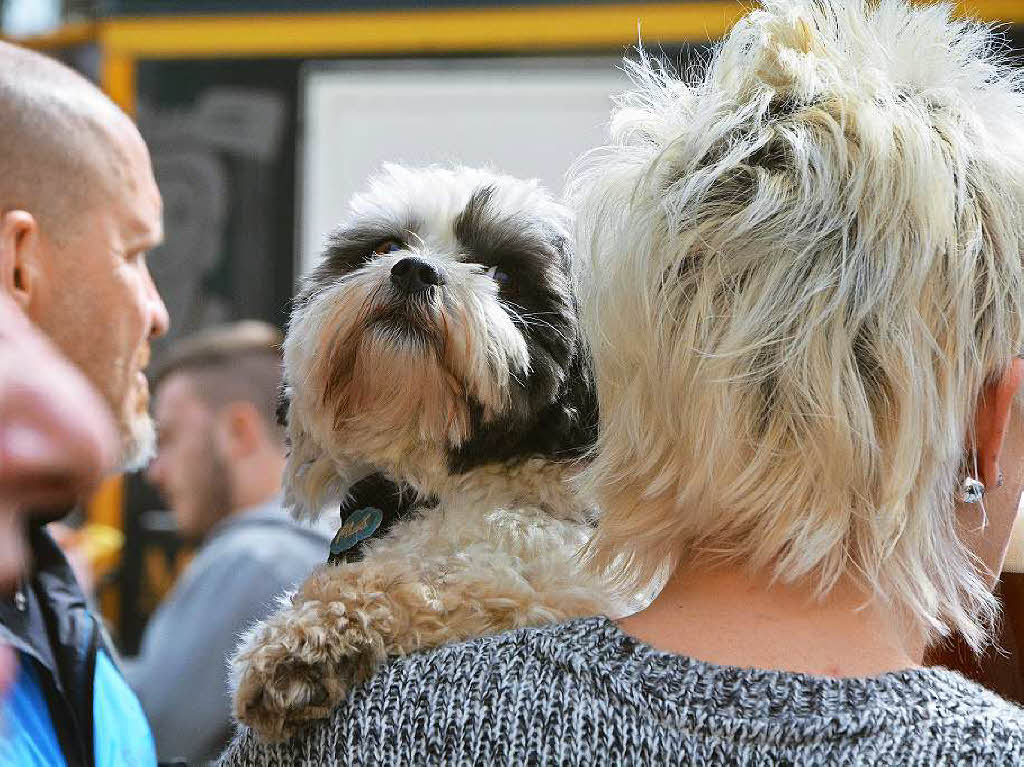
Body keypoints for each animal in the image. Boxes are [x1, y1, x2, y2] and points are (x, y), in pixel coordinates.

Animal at [230, 162, 614, 741]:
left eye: (502, 275)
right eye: (387, 245)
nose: (414, 270)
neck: (433, 481)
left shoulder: (565, 580)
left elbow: (436, 580)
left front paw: (306, 640)